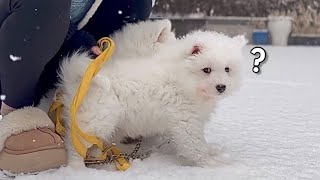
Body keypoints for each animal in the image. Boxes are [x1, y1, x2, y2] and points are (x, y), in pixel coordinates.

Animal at [58, 25, 246, 167]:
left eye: (227, 69)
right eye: (206, 70)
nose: (221, 87)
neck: (183, 78)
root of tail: (78, 77)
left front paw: (212, 152)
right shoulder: (186, 121)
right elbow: (195, 145)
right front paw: (212, 164)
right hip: (95, 121)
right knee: (76, 146)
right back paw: (77, 168)